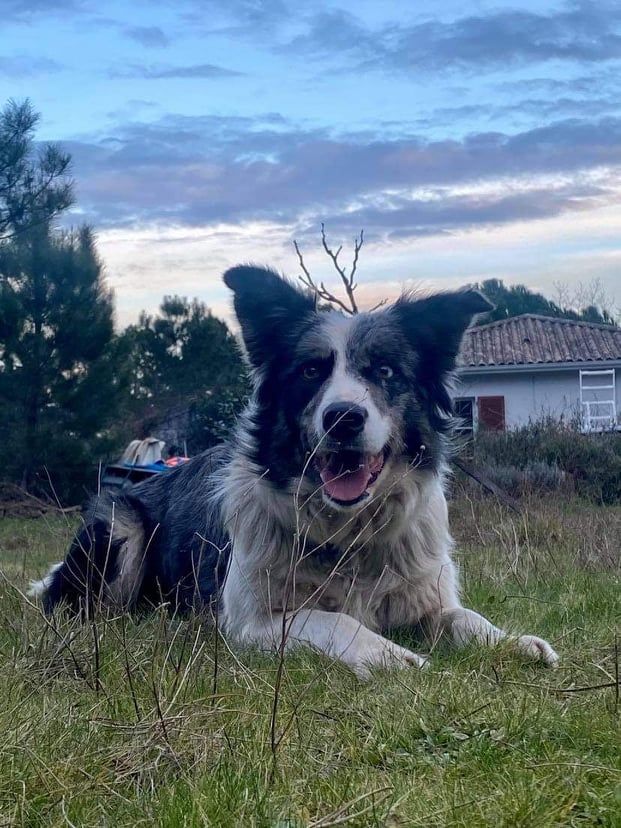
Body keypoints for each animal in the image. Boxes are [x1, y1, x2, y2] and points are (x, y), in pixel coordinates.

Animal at [30, 268, 556, 676]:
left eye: (385, 371)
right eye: (310, 371)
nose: (343, 417)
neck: (350, 535)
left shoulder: (425, 593)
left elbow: (463, 617)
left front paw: (512, 642)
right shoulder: (250, 623)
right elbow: (334, 619)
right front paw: (392, 657)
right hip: (121, 526)